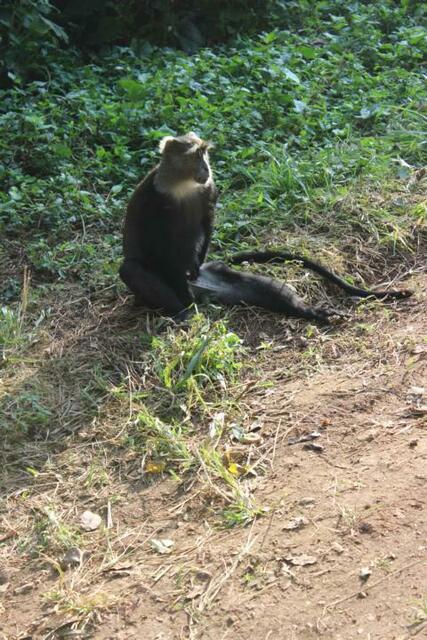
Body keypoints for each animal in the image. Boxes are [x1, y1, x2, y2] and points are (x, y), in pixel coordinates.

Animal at [119, 132, 217, 316]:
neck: (182, 184)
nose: (206, 168)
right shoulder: (155, 201)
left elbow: (206, 225)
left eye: (204, 153)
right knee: (130, 269)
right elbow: (163, 250)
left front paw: (195, 267)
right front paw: (186, 298)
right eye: (196, 155)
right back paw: (180, 312)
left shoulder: (208, 191)